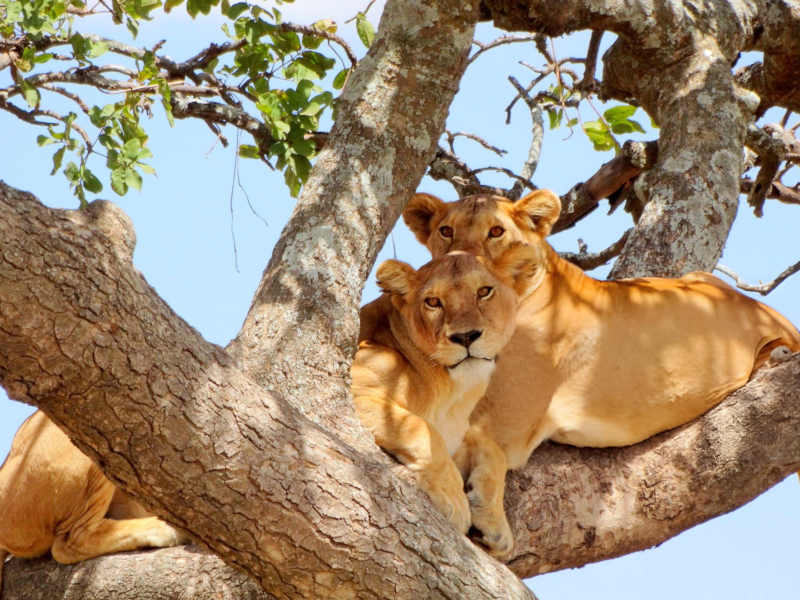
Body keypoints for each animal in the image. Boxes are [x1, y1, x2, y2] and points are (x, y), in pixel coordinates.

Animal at [354, 246, 536, 532]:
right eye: (433, 302)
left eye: (484, 291)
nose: (465, 336)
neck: (452, 394)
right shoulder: (355, 385)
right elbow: (422, 429)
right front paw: (454, 500)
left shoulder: (458, 430)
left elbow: (492, 449)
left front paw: (495, 524)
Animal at [404, 189, 800, 556]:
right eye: (446, 231)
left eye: (496, 232)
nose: (459, 263)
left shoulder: (506, 427)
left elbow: (486, 449)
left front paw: (493, 525)